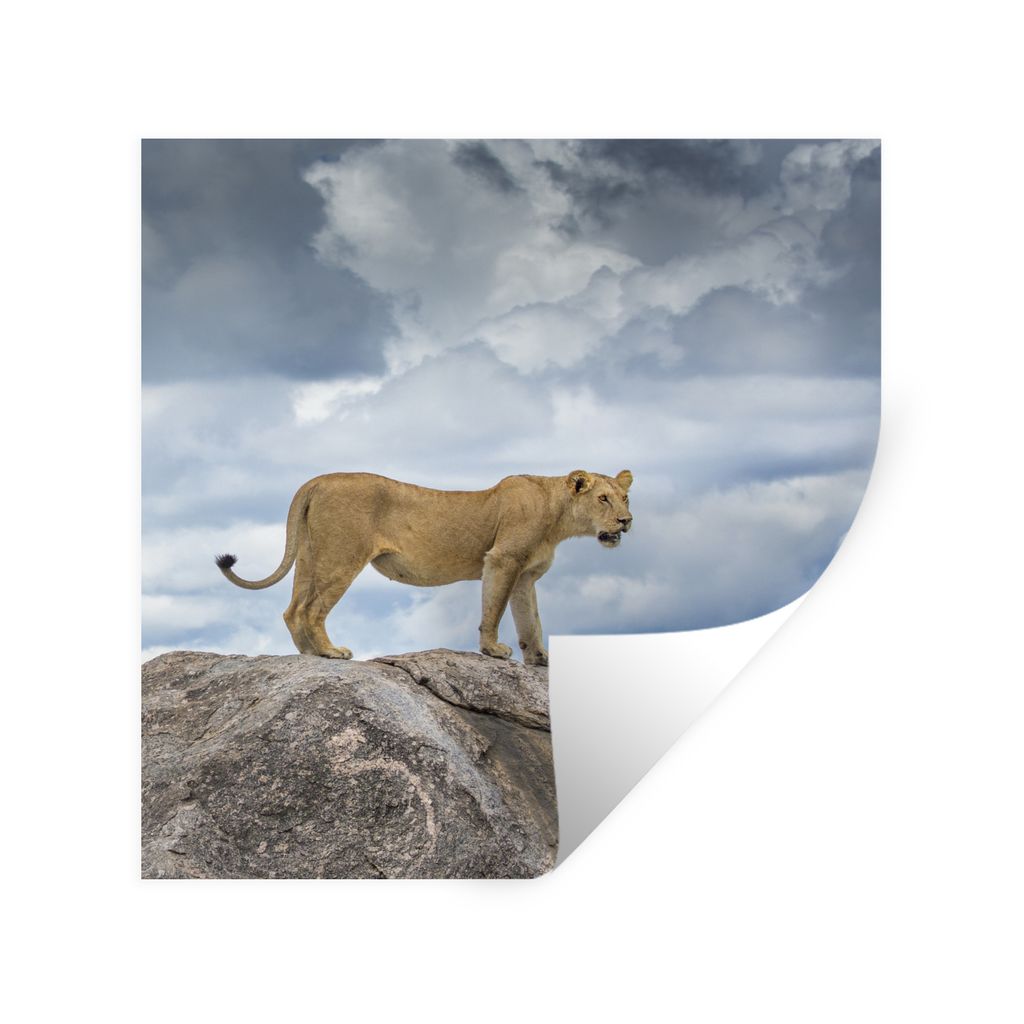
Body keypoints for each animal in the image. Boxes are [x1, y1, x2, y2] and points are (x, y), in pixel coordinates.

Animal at [215, 469, 633, 665]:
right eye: (603, 498)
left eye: (626, 498)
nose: (626, 521)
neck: (557, 515)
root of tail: (316, 481)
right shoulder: (502, 559)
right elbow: (493, 609)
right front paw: (493, 650)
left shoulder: (525, 576)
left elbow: (530, 621)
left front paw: (540, 661)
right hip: (342, 555)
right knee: (311, 609)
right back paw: (332, 653)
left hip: (309, 554)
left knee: (292, 609)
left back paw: (310, 655)